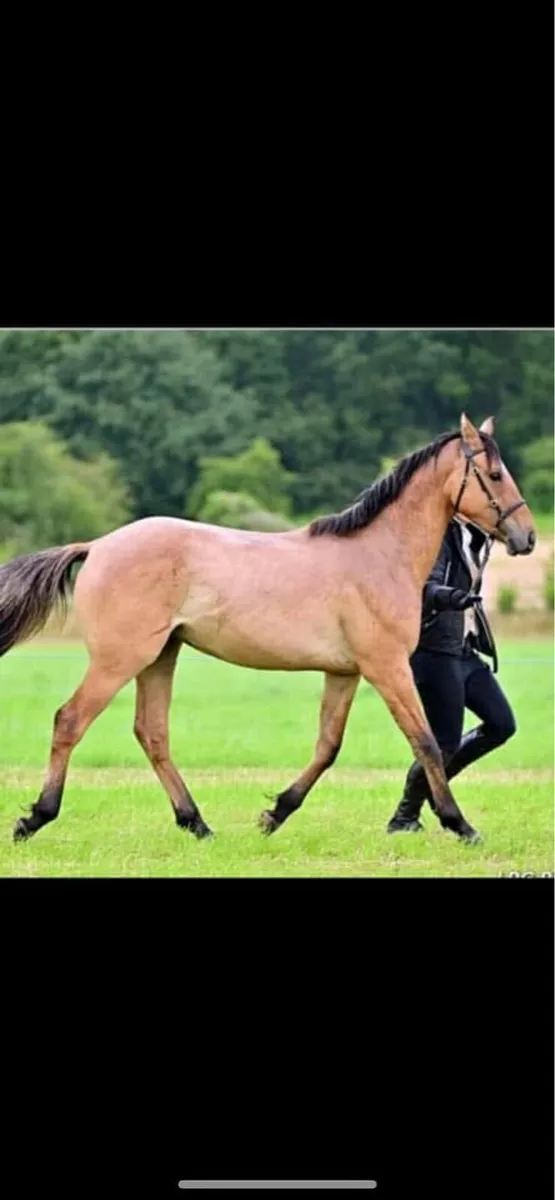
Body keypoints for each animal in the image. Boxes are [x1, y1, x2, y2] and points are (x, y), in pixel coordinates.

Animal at [0, 412, 535, 848]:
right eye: (493, 475)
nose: (527, 537)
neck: (379, 555)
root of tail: (98, 545)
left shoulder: (345, 673)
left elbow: (328, 747)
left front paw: (275, 813)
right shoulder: (386, 667)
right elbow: (425, 742)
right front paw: (460, 824)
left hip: (160, 656)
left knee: (152, 733)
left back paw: (197, 824)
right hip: (121, 658)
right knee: (70, 720)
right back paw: (35, 819)